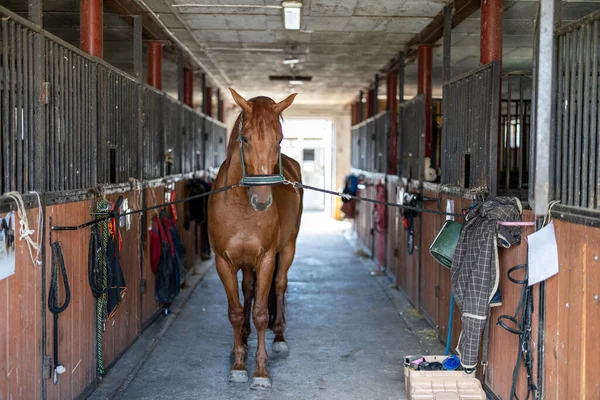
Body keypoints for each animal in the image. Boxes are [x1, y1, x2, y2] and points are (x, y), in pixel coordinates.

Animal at [209, 89, 304, 390]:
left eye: (279, 139)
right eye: (245, 138)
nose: (261, 201)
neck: (241, 207)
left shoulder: (265, 259)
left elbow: (262, 313)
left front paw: (261, 373)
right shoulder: (224, 262)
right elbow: (236, 311)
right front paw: (239, 365)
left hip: (287, 250)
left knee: (280, 286)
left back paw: (279, 337)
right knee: (248, 291)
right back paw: (243, 337)